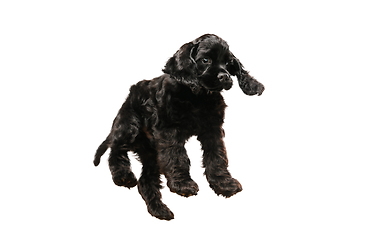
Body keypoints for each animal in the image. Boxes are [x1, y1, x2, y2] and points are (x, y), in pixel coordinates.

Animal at [94, 33, 266, 219]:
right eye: (205, 60)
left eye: (228, 63)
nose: (225, 76)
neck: (197, 97)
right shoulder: (169, 131)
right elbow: (177, 156)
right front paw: (183, 185)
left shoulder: (212, 130)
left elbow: (217, 156)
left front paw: (223, 183)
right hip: (129, 127)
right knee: (115, 149)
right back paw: (123, 175)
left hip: (151, 155)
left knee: (145, 181)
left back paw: (160, 210)